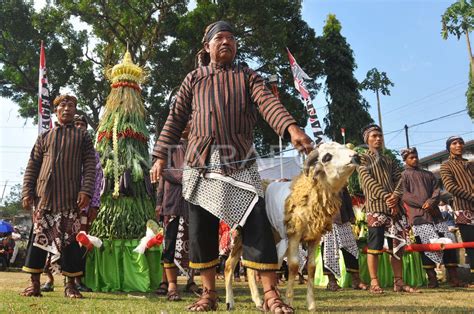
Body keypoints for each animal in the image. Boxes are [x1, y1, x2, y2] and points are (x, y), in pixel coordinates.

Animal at [224, 142, 358, 312]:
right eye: (327, 157)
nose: (356, 156)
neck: (309, 192)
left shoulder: (315, 237)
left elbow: (312, 267)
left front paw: (311, 304)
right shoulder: (294, 234)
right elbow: (293, 266)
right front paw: (288, 302)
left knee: (251, 268)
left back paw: (259, 302)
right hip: (240, 237)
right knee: (229, 265)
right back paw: (230, 302)